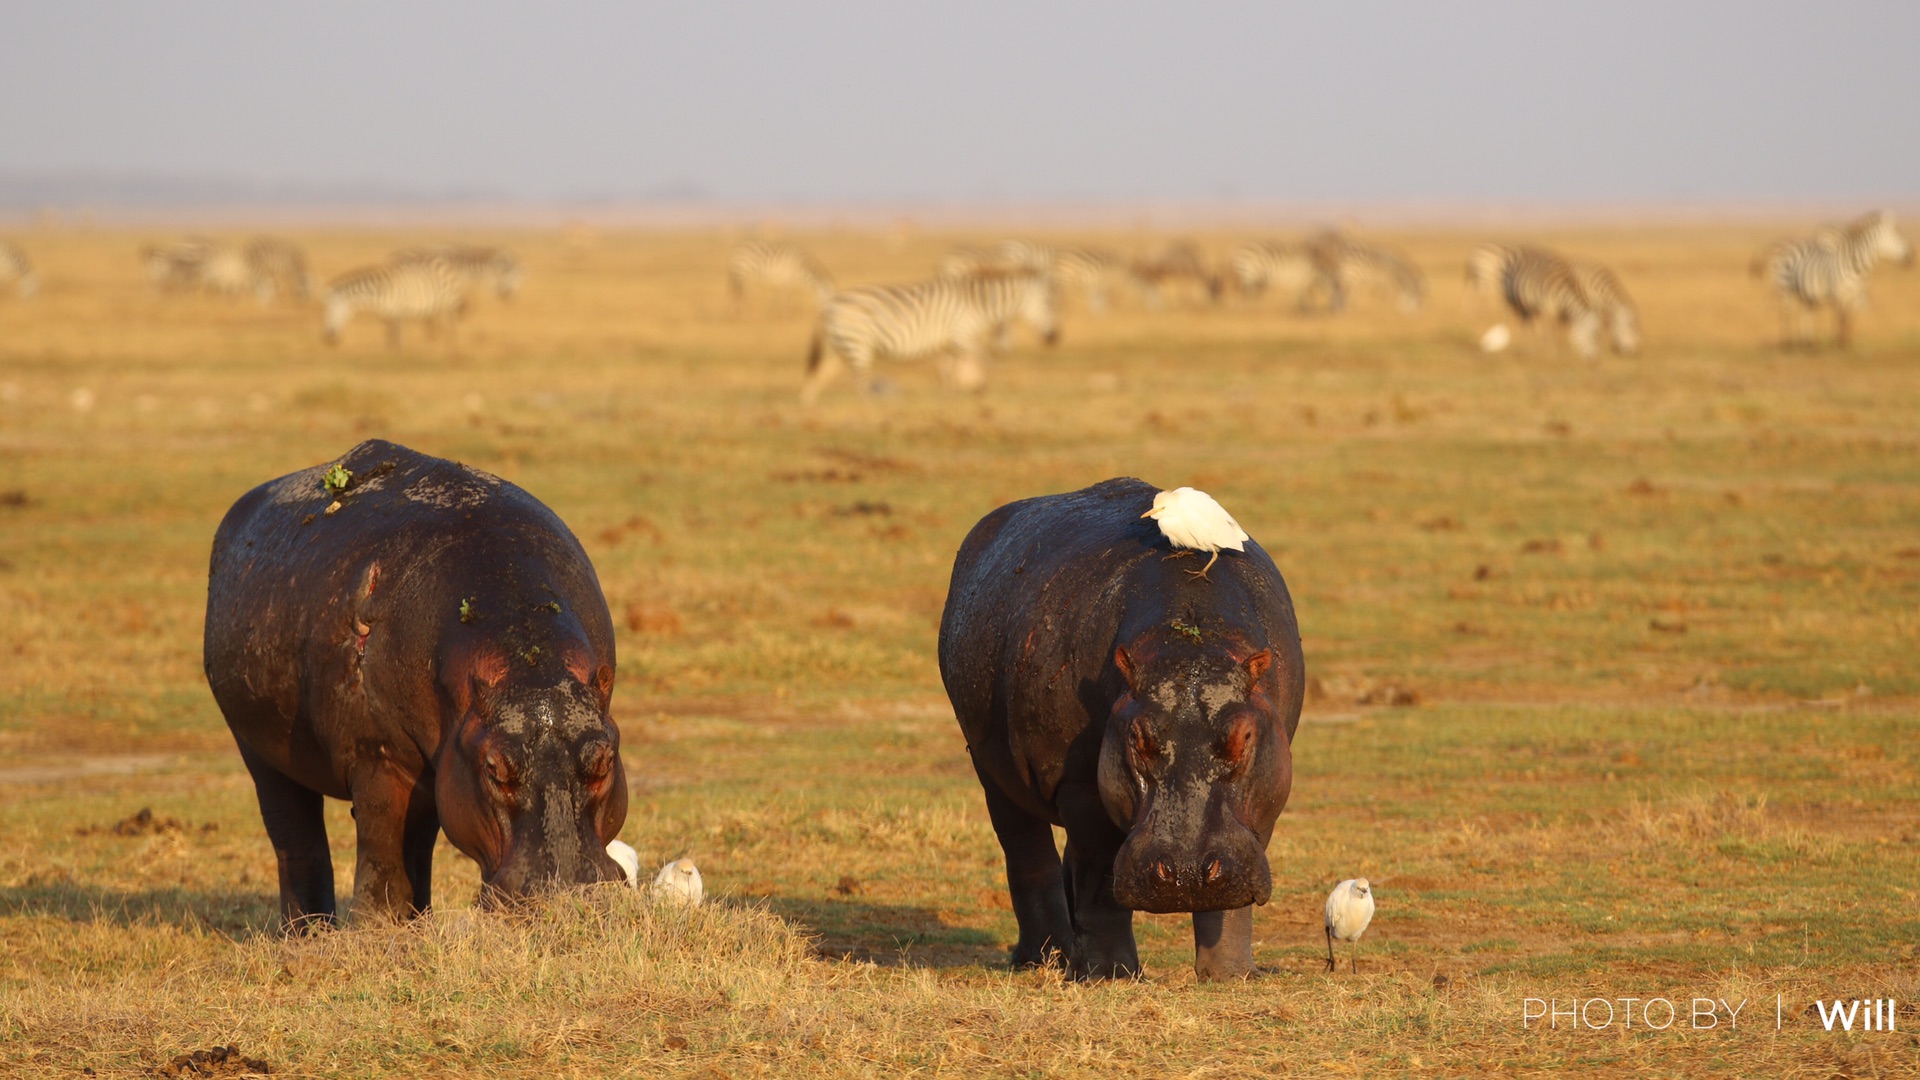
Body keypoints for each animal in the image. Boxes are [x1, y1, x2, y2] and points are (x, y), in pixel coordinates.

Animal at [209, 438, 629, 926]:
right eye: (494, 769)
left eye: (605, 760)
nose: (563, 896)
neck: (530, 666)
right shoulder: (378, 755)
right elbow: (381, 845)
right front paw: (374, 928)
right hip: (259, 751)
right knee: (296, 838)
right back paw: (306, 931)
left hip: (429, 768)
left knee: (416, 840)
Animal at [322, 257, 472, 343]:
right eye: (326, 310)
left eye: (332, 309)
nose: (327, 337)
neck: (380, 291)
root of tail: (442, 261)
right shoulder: (386, 315)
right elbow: (389, 338)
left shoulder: (396, 312)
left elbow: (395, 338)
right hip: (437, 305)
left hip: (449, 302)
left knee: (451, 325)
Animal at [798, 269, 1059, 403]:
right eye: (1049, 303)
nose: (1055, 338)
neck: (978, 304)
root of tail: (829, 303)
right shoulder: (961, 335)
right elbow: (982, 359)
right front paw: (979, 389)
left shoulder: (952, 344)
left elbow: (952, 369)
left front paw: (951, 395)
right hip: (857, 343)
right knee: (858, 378)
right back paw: (869, 405)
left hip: (840, 344)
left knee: (819, 373)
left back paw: (809, 403)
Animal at [933, 474, 1297, 980]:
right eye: (1137, 738)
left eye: (1243, 737)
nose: (1186, 871)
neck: (1188, 645)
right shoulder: (1081, 784)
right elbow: (1098, 882)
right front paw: (1112, 974)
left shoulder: (1266, 790)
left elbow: (1231, 895)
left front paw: (1231, 976)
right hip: (993, 770)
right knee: (1029, 856)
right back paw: (1044, 959)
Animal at [1758, 208, 1904, 345]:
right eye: (1897, 236)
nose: (1909, 257)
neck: (1854, 265)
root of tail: (1784, 245)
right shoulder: (1838, 292)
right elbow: (1840, 317)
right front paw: (1839, 343)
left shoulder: (1854, 295)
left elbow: (1849, 318)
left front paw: (1846, 342)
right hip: (1785, 287)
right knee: (1785, 314)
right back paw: (1787, 343)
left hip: (1803, 291)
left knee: (1805, 314)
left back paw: (1808, 343)